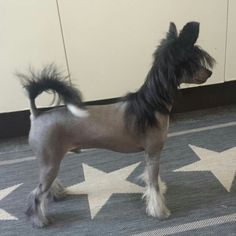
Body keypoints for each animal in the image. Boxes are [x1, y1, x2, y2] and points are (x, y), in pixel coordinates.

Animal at [19, 22, 216, 227]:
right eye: (193, 62)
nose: (209, 73)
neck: (152, 104)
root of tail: (36, 115)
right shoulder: (154, 152)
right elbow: (153, 183)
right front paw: (159, 210)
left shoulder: (149, 154)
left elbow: (151, 179)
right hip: (50, 162)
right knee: (36, 194)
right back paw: (40, 219)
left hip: (53, 159)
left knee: (46, 186)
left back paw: (57, 194)